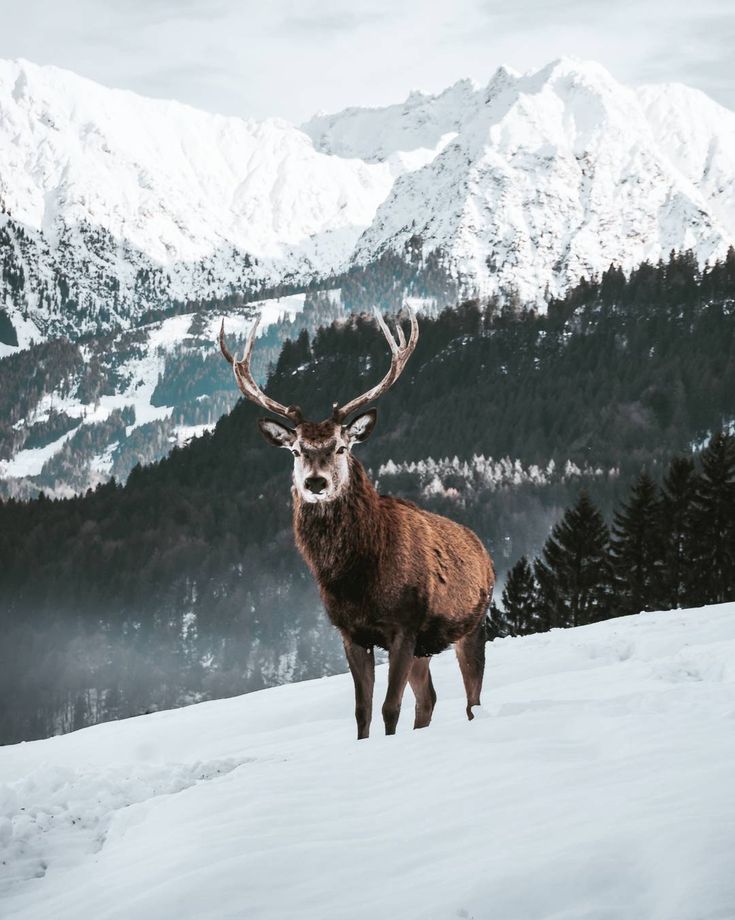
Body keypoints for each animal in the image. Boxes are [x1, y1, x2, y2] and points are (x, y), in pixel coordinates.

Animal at [218, 310, 494, 740]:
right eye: (295, 451)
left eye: (341, 447)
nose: (315, 483)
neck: (354, 578)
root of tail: (483, 549)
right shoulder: (350, 633)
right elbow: (362, 711)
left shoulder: (404, 623)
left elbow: (389, 707)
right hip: (426, 646)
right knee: (429, 699)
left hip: (473, 623)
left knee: (473, 696)